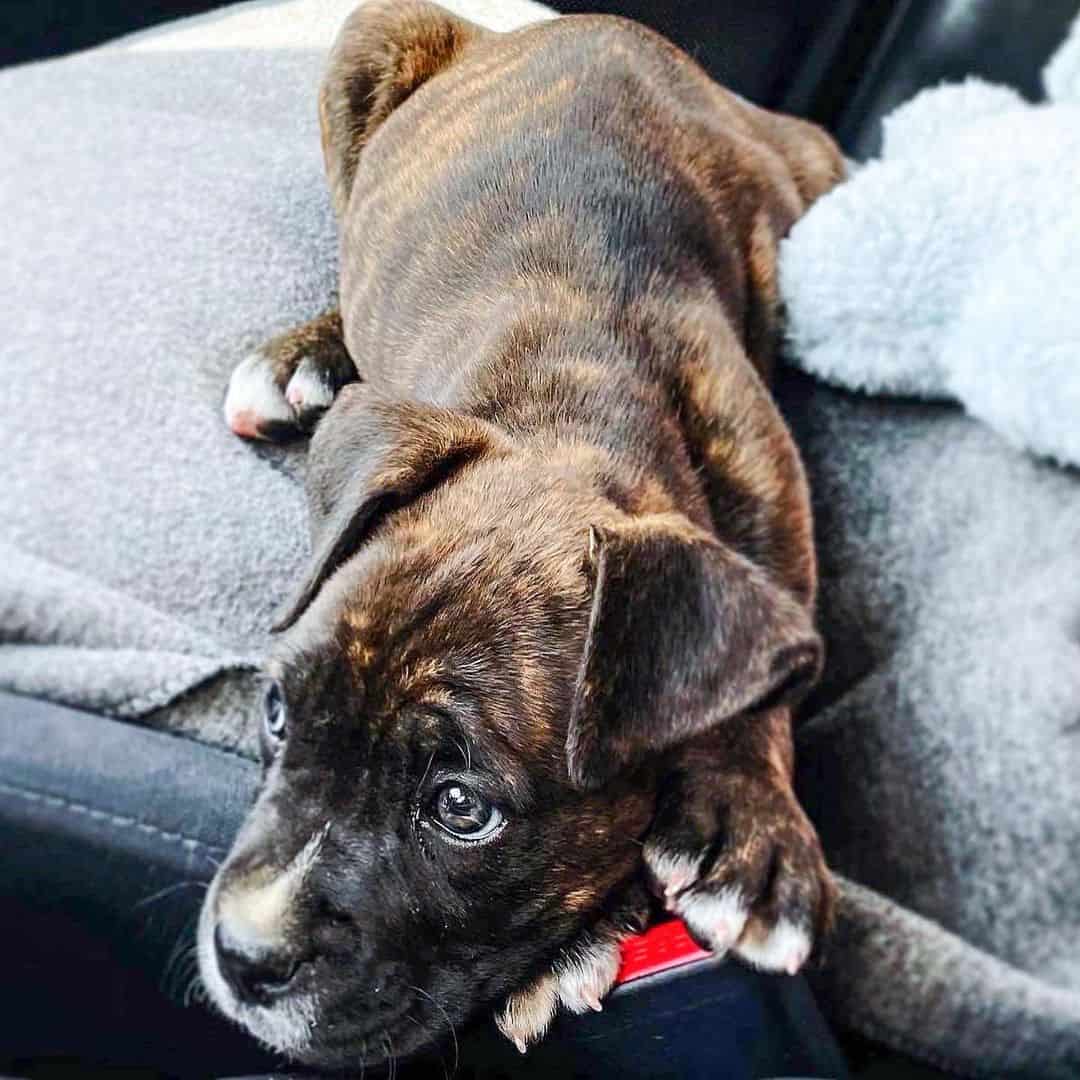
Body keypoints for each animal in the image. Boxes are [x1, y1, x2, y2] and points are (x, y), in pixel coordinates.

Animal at [203, 0, 842, 1062]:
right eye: (278, 711)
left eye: (463, 808)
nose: (243, 956)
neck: (565, 407)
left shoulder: (761, 478)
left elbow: (775, 649)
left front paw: (751, 824)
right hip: (370, 44)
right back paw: (306, 359)